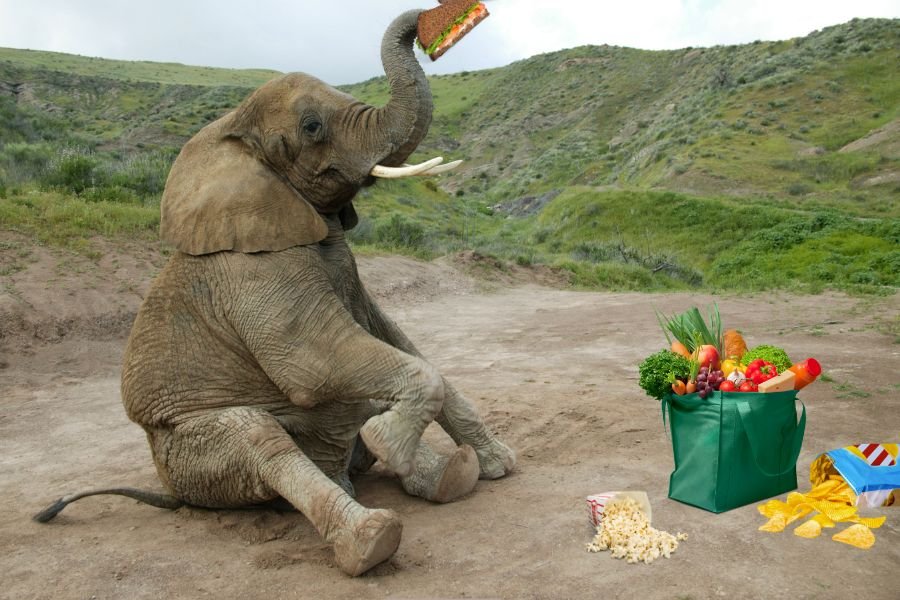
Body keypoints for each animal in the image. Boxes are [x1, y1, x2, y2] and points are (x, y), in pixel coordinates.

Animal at [32, 9, 515, 576]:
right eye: (312, 127)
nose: (424, 20)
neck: (230, 133)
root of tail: (174, 493)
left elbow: (396, 340)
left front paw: (498, 463)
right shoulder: (253, 270)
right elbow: (312, 362)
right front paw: (391, 446)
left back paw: (450, 475)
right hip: (191, 454)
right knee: (261, 440)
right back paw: (371, 537)